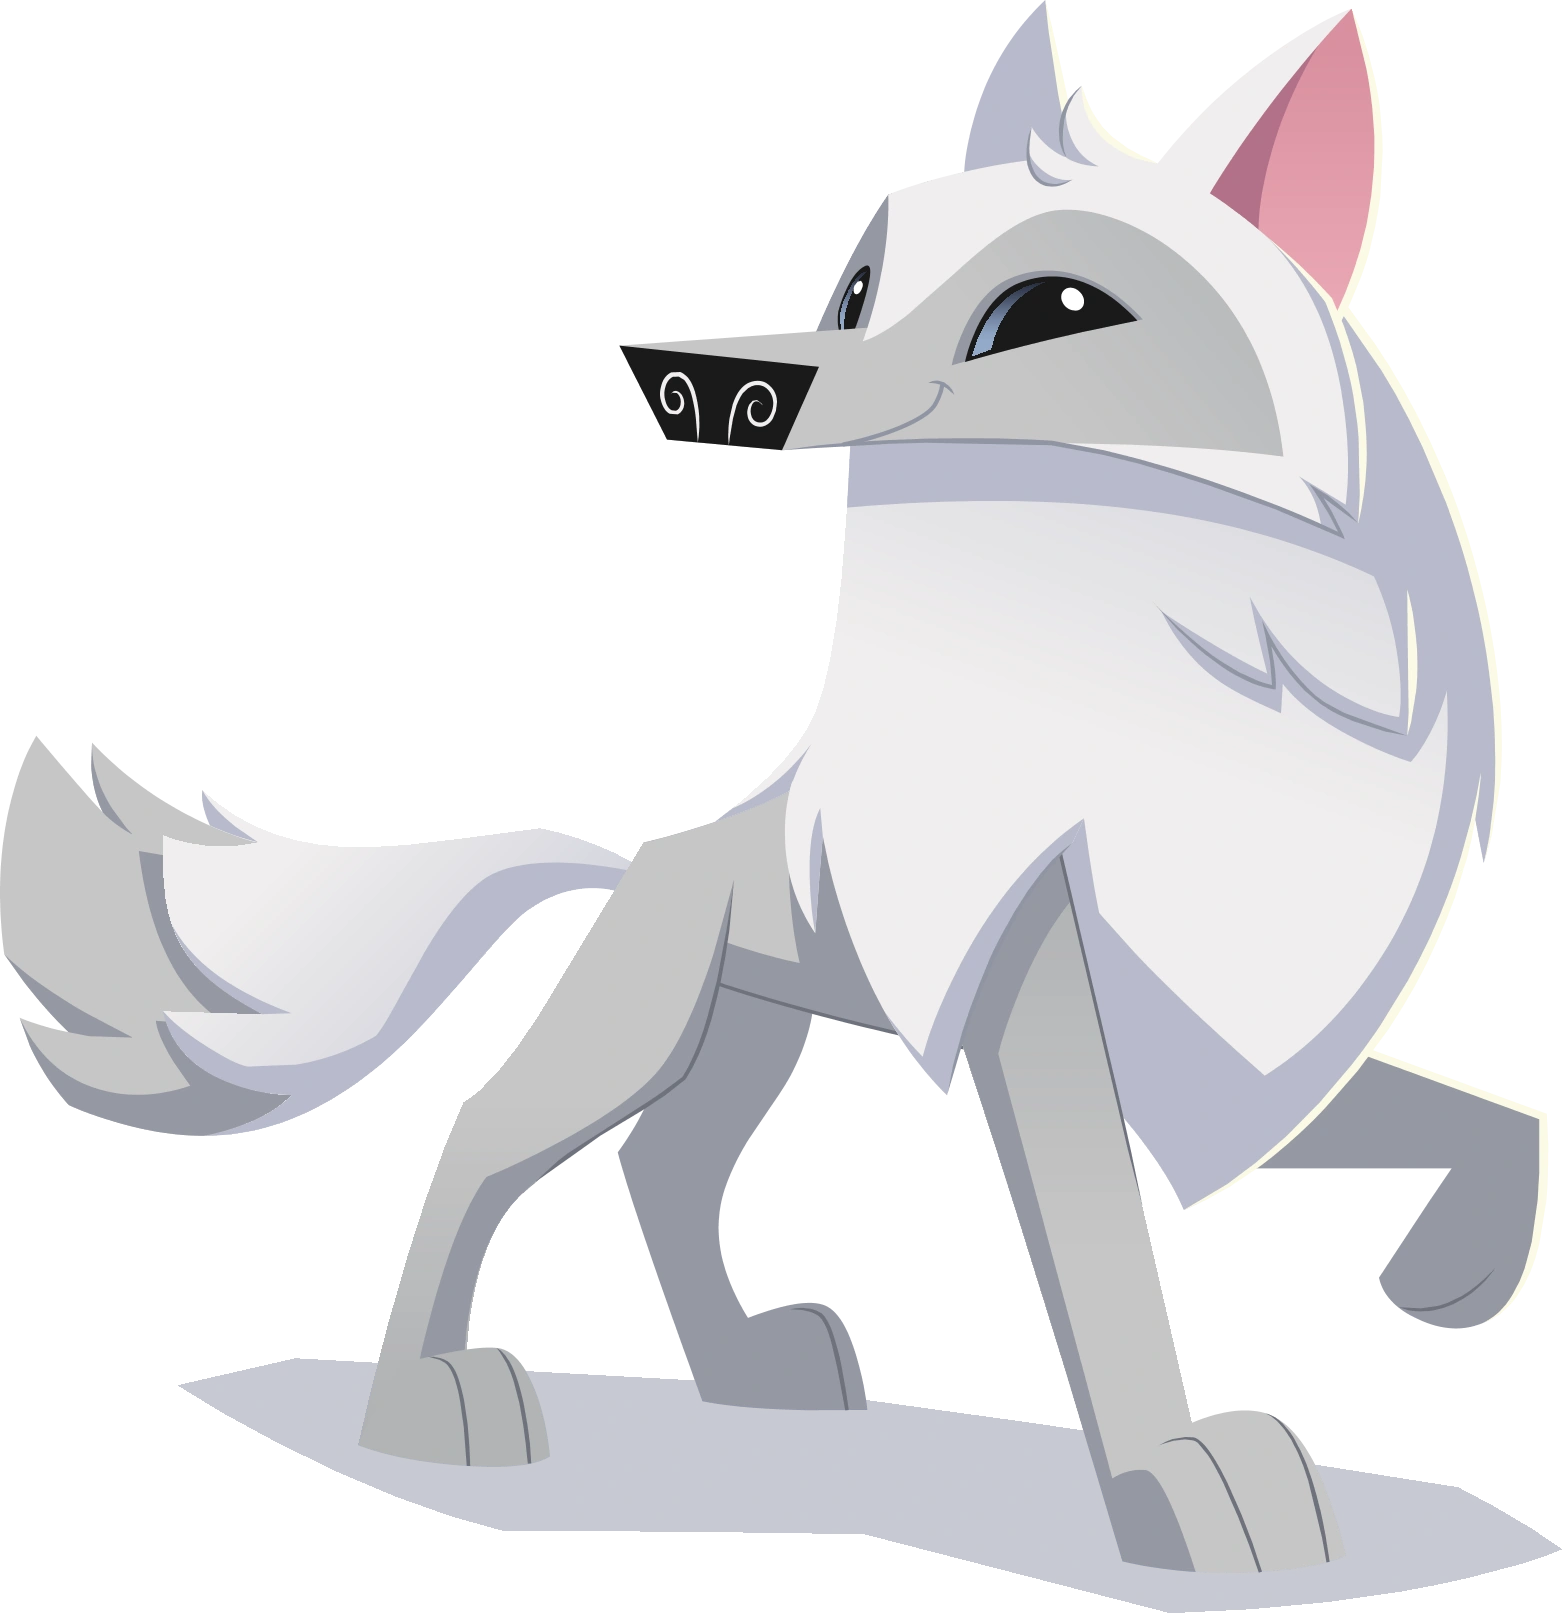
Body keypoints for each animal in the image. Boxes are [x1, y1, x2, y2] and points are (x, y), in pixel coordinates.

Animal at [1, 5, 1539, 1578]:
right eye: (853, 288)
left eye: (1050, 311)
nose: (703, 384)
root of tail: (637, 859)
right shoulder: (1049, 1017)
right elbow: (1108, 1278)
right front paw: (1182, 1483)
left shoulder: (1213, 1023)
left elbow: (1497, 1121)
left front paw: (1453, 1280)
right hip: (633, 1030)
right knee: (478, 1136)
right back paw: (428, 1403)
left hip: (741, 1042)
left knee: (665, 1171)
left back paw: (747, 1369)